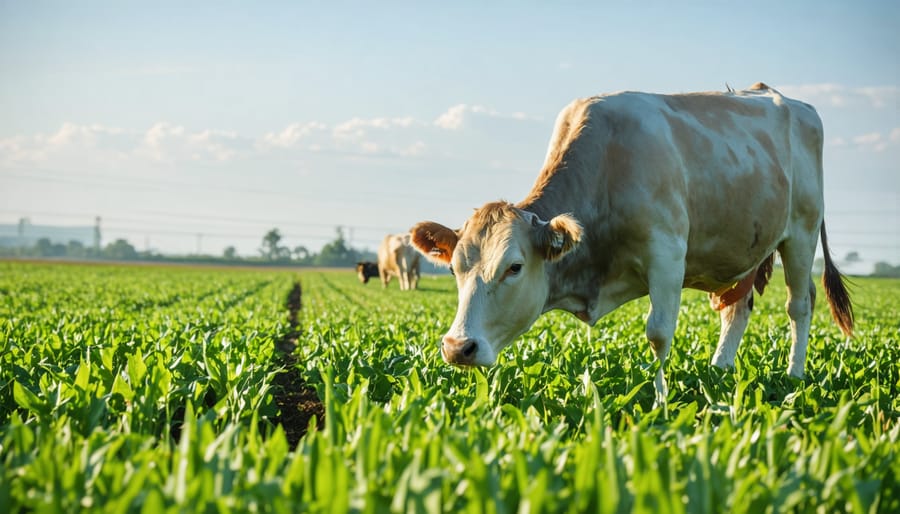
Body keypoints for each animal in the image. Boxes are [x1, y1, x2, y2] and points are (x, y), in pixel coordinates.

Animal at [412, 82, 856, 406]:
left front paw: (660, 401)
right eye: (453, 268)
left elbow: (658, 332)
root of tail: (779, 94)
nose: (457, 347)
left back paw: (794, 376)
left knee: (799, 304)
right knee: (737, 308)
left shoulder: (668, 254)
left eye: (514, 267)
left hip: (801, 231)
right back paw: (719, 370)